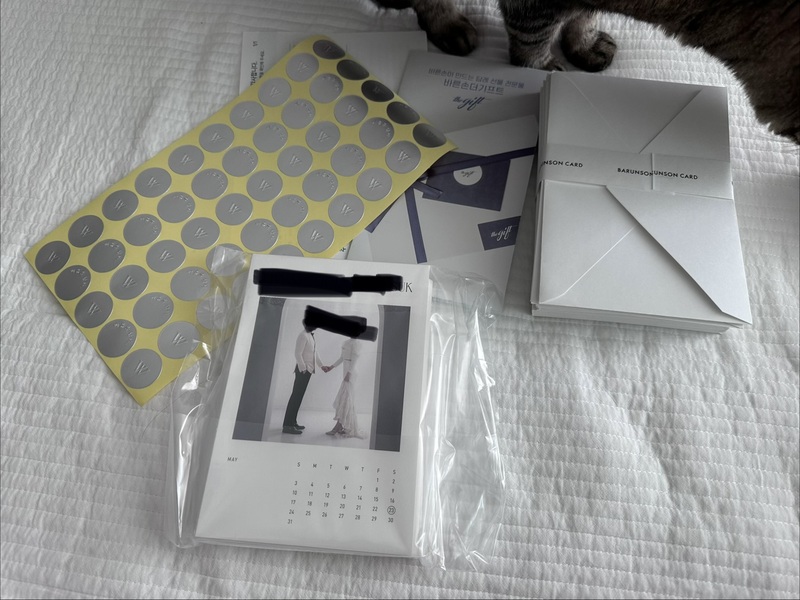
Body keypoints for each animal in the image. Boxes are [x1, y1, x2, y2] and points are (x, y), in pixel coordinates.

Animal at [375, 0, 800, 143]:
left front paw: (582, 45)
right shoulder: (533, 4)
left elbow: (583, 16)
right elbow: (531, 39)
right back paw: (446, 25)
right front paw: (541, 69)